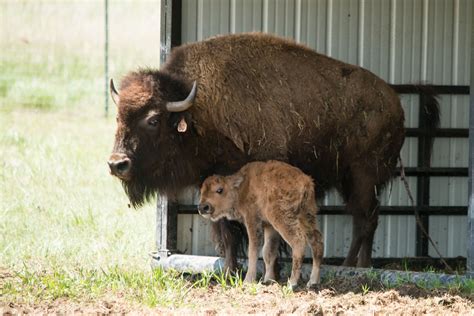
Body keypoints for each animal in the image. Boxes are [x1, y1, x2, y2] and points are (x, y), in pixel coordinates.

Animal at [109, 32, 438, 270]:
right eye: (118, 117)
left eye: (153, 119)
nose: (117, 164)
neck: (199, 108)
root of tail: (394, 102)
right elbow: (227, 233)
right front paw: (230, 271)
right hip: (350, 180)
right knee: (363, 219)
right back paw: (351, 264)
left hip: (363, 176)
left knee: (367, 219)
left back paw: (358, 267)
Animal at [198, 160, 324, 288]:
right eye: (201, 191)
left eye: (219, 190)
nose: (203, 207)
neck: (242, 188)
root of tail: (305, 181)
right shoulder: (269, 226)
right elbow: (268, 252)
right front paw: (268, 280)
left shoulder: (253, 220)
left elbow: (253, 249)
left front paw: (248, 280)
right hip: (307, 216)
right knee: (317, 241)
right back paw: (313, 281)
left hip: (283, 219)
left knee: (298, 241)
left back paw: (292, 282)